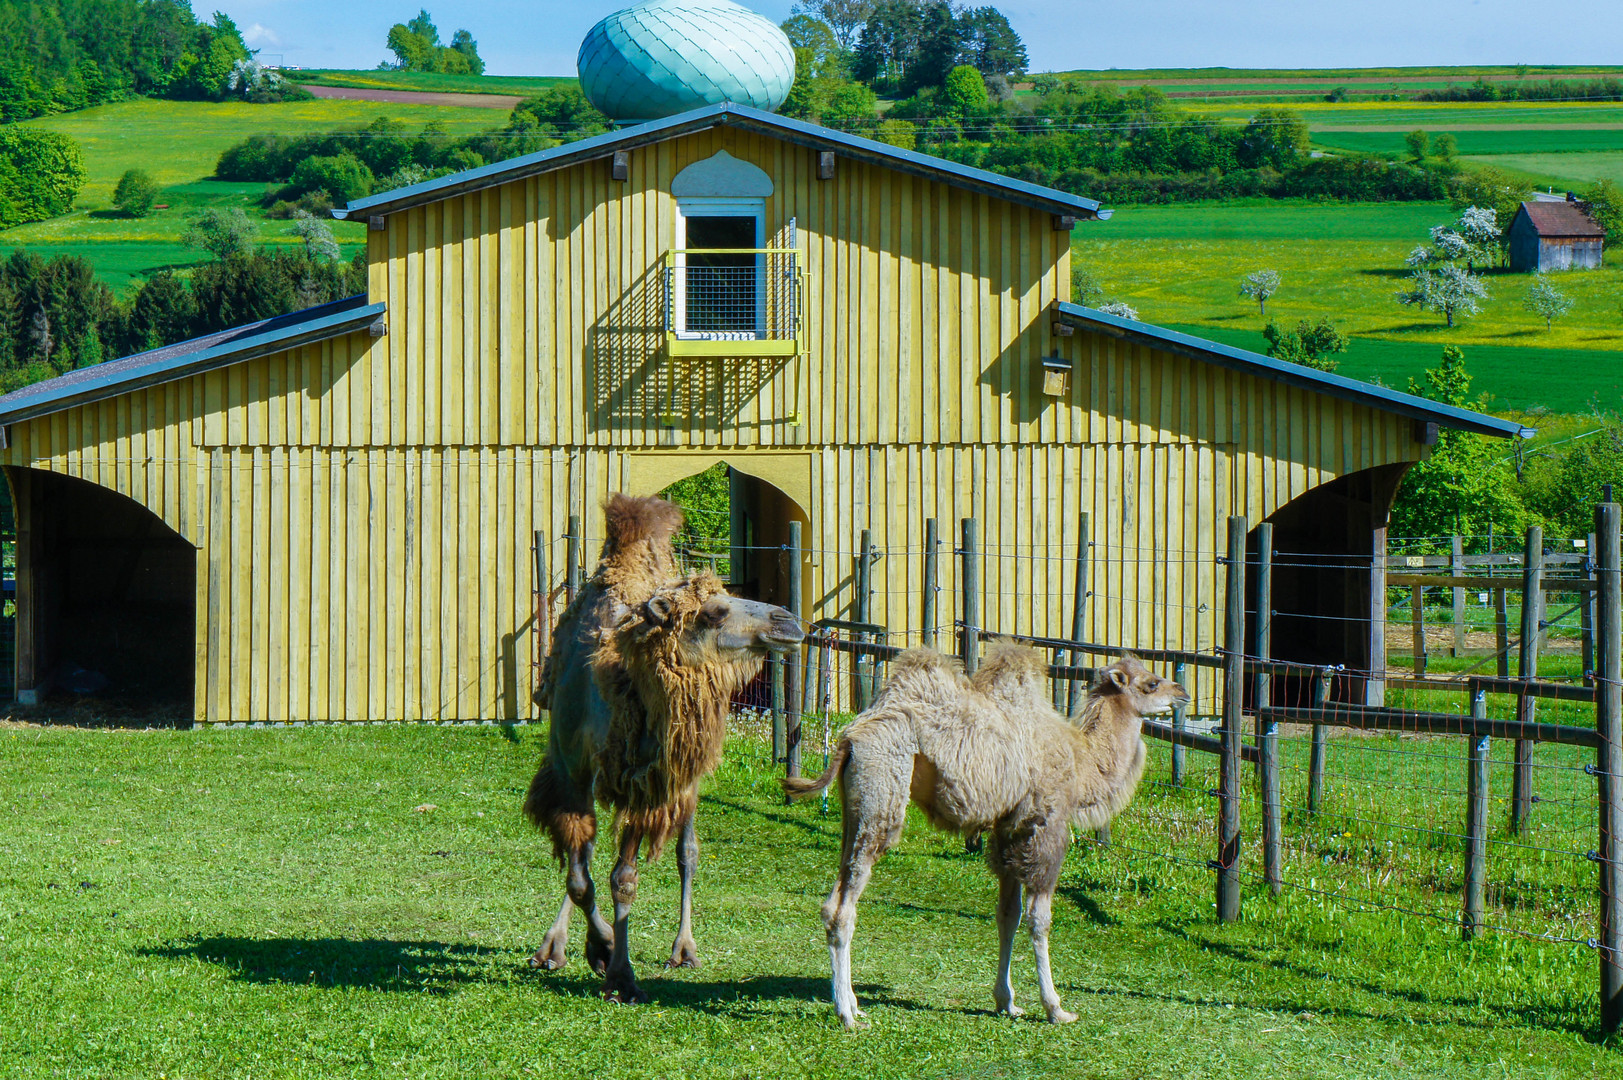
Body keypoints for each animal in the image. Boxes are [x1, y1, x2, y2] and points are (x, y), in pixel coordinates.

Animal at [525, 493, 805, 1000]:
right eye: (714, 612)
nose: (788, 621)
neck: (617, 690)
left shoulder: (648, 782)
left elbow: (623, 879)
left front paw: (618, 970)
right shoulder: (574, 771)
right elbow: (580, 876)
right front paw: (597, 948)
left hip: (686, 775)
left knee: (687, 850)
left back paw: (684, 948)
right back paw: (553, 947)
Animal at [788, 639, 1194, 1026]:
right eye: (1151, 683)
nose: (1182, 692)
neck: (1083, 764)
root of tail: (850, 738)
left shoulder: (1008, 830)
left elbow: (1007, 915)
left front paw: (1007, 1002)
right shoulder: (1043, 828)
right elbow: (1039, 920)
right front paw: (1056, 1008)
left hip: (855, 810)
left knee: (835, 893)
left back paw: (854, 1005)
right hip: (882, 792)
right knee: (844, 907)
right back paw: (846, 1014)